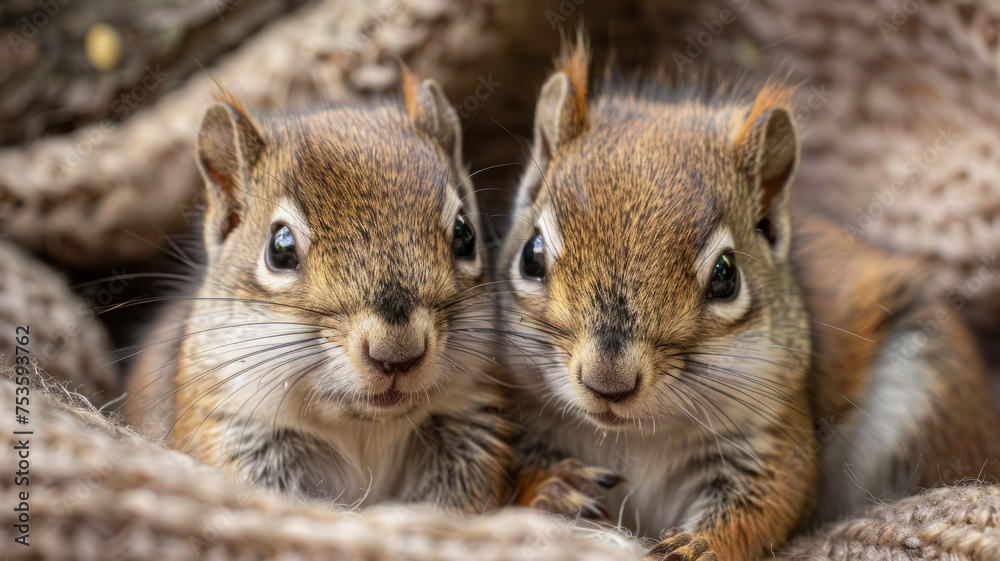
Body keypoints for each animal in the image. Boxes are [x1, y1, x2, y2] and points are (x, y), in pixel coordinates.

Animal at [122, 68, 616, 514]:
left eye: (465, 234)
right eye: (279, 248)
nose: (396, 352)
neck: (363, 430)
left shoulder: (468, 422)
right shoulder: (234, 427)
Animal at [497, 37, 1000, 561]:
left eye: (726, 276)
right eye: (531, 256)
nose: (608, 383)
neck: (639, 437)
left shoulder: (772, 434)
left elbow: (766, 504)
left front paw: (695, 547)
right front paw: (554, 488)